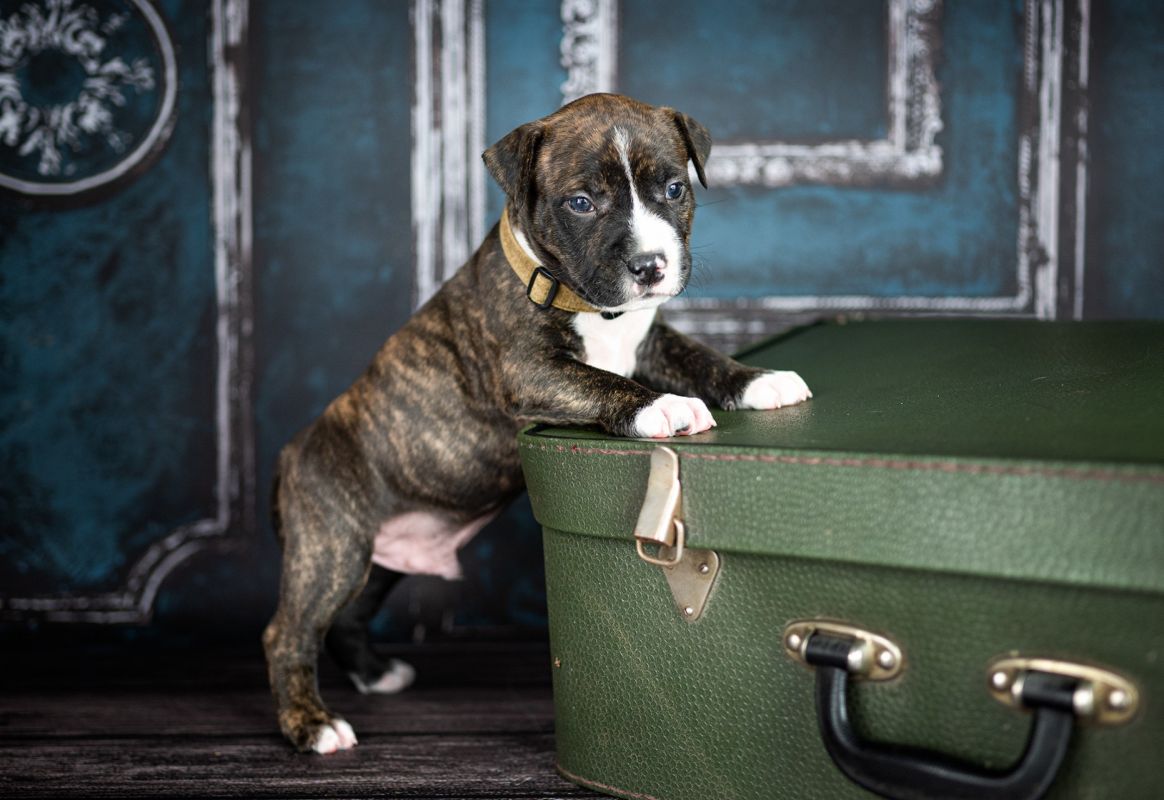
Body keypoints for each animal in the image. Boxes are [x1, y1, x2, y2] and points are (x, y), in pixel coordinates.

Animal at [263, 93, 811, 753]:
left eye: (674, 189)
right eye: (581, 203)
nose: (650, 266)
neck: (590, 305)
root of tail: (292, 452)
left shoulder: (652, 343)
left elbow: (698, 354)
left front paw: (757, 379)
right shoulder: (529, 372)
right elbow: (599, 380)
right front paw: (661, 406)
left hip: (376, 559)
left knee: (348, 615)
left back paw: (376, 674)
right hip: (332, 546)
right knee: (289, 632)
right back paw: (313, 724)